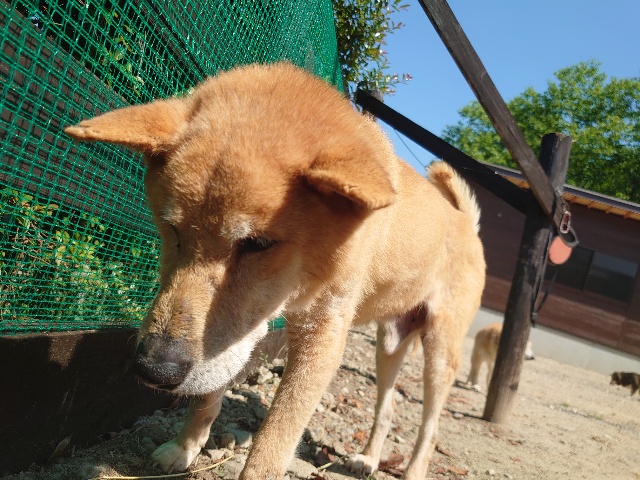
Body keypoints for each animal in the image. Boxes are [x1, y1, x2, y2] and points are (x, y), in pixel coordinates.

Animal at [65, 62, 486, 480]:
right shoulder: (244, 327)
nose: (154, 368)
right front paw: (184, 447)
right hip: (390, 345)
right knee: (386, 409)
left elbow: (272, 447)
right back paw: (367, 458)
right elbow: (208, 394)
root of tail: (467, 222)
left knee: (429, 429)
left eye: (258, 244)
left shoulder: (322, 336)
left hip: (439, 355)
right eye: (172, 229)